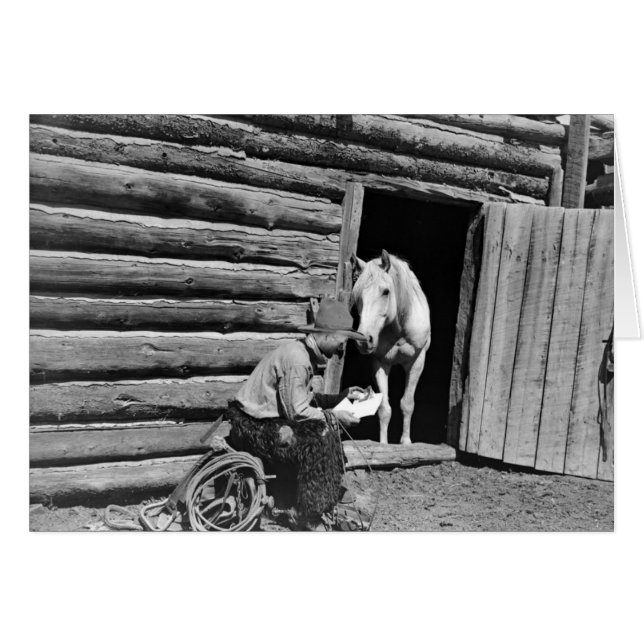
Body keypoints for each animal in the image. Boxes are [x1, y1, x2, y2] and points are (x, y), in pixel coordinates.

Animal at [350, 250, 431, 445]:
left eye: (386, 292)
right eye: (357, 295)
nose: (363, 340)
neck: (399, 330)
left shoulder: (417, 362)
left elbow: (407, 404)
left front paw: (406, 442)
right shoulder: (380, 363)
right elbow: (384, 408)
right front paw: (383, 445)